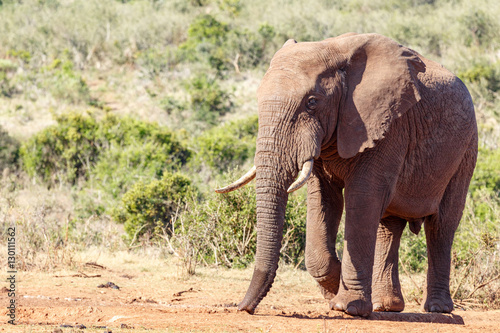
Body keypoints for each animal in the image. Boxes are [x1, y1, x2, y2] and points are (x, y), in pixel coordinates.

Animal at [217, 32, 478, 316]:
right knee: (389, 225)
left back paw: (438, 309)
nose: (241, 308)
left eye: (312, 103)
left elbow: (362, 198)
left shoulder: (387, 126)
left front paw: (346, 306)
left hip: (466, 150)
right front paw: (334, 287)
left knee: (441, 224)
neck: (333, 51)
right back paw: (386, 305)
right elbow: (324, 200)